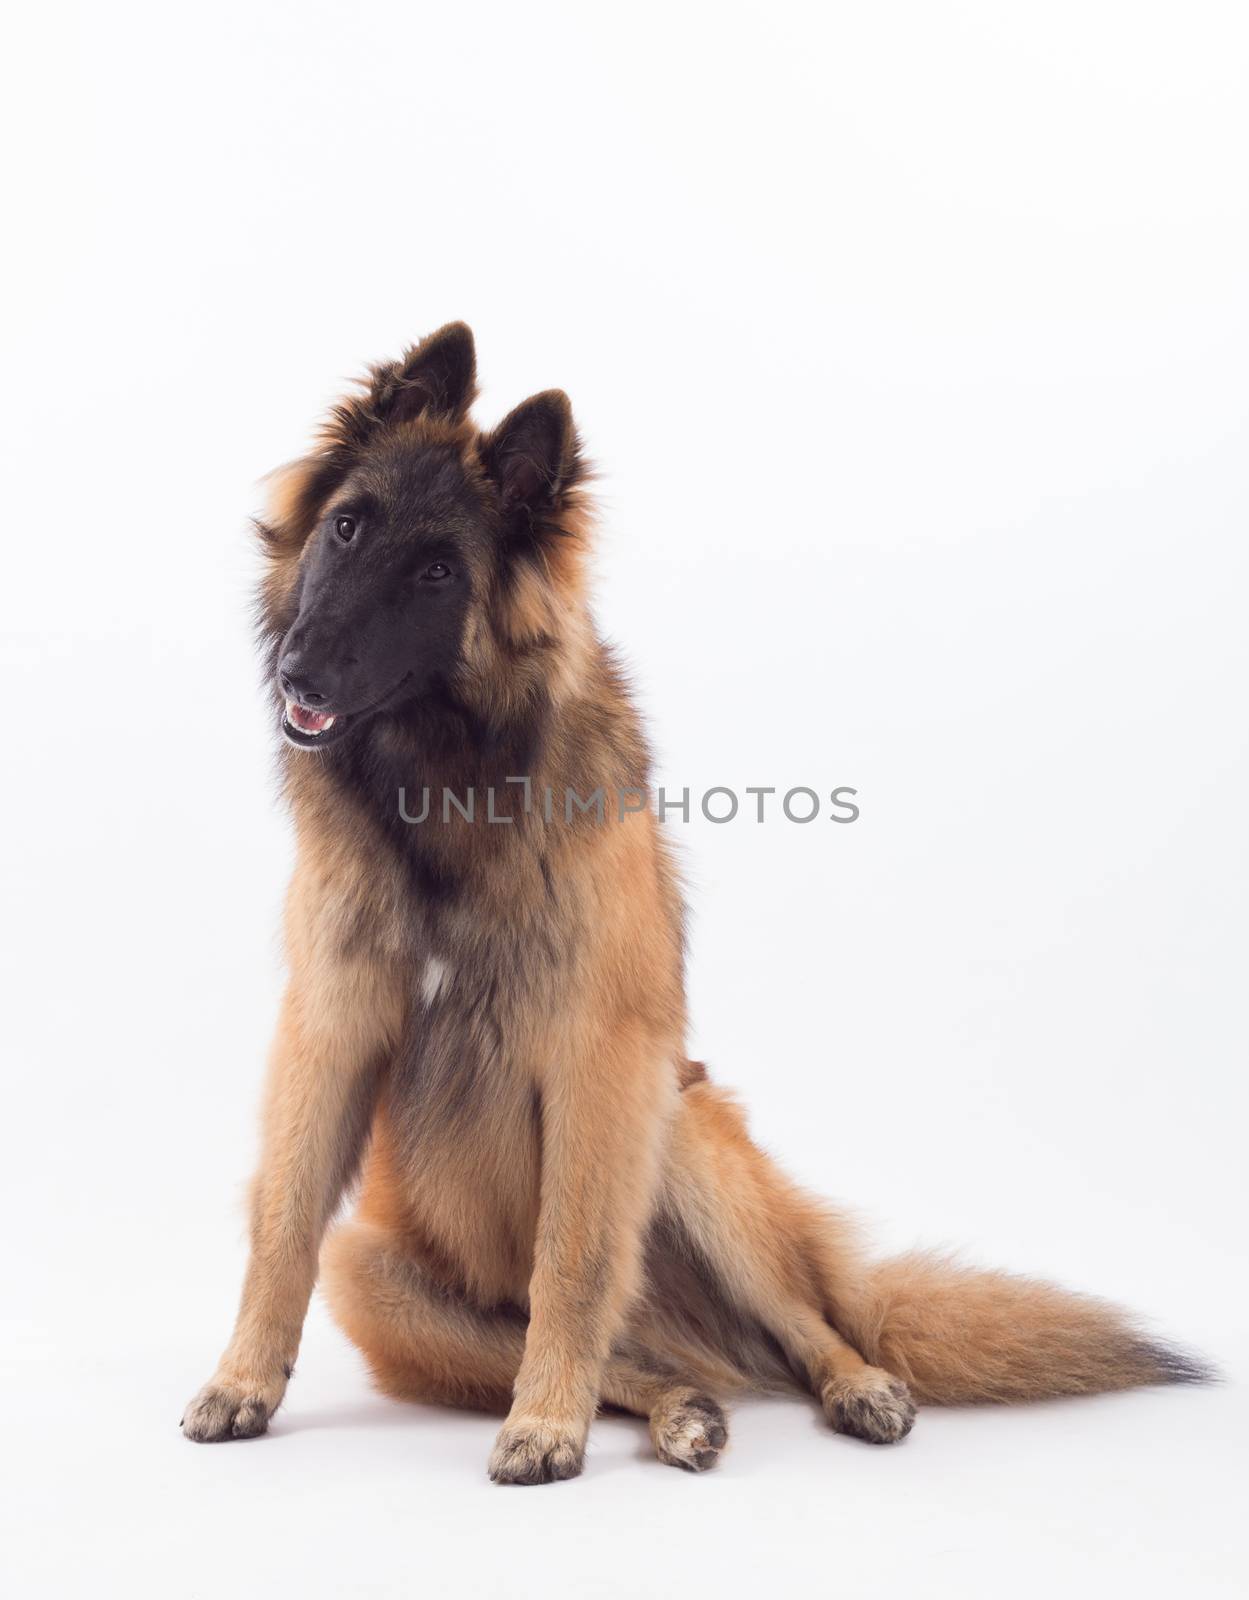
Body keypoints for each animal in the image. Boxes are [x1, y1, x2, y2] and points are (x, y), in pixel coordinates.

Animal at [179, 324, 1202, 1484]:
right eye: (347, 526)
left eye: (438, 571)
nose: (298, 672)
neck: (446, 781)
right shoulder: (331, 1028)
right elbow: (283, 1223)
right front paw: (244, 1381)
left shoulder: (602, 1056)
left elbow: (576, 1257)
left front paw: (545, 1420)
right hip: (381, 1276)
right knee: (642, 1356)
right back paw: (680, 1409)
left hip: (683, 1135)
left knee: (799, 1326)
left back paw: (852, 1385)